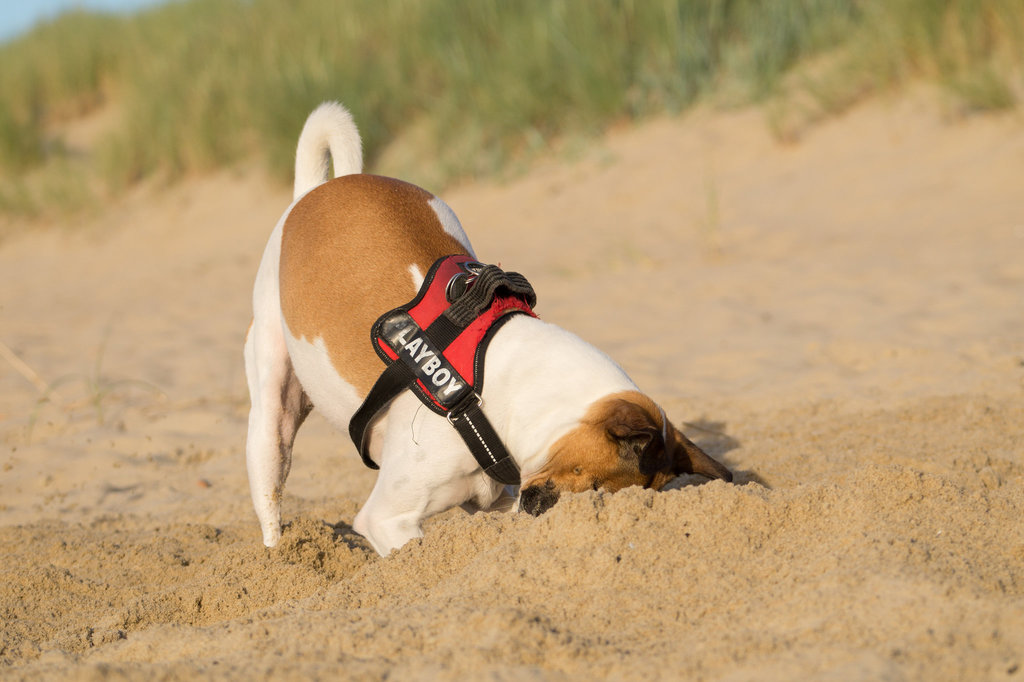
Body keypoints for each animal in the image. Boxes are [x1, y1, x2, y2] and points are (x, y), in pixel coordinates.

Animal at [243, 103, 733, 557]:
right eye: (596, 492)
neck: (495, 389)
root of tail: (322, 188)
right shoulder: (388, 520)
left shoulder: (495, 500)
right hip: (272, 422)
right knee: (271, 496)